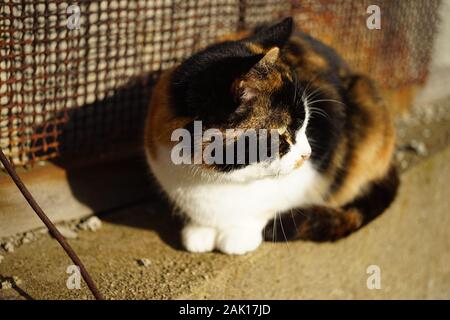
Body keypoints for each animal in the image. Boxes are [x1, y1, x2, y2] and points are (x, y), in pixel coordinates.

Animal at [144, 18, 398, 255]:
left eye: (306, 124)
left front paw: (240, 236)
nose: (307, 154)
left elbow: (266, 208)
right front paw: (200, 232)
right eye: (283, 133)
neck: (217, 180)